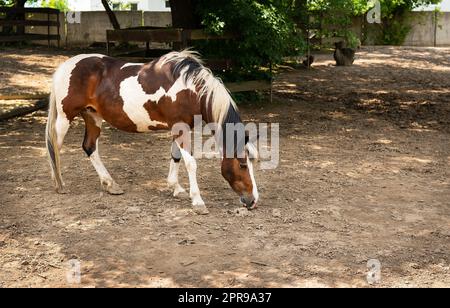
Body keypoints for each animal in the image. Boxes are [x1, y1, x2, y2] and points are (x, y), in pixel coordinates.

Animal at [46, 50, 258, 214]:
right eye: (242, 164)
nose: (253, 200)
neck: (190, 89)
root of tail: (65, 66)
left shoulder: (180, 127)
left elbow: (176, 157)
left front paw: (176, 187)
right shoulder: (180, 127)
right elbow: (191, 163)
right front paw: (197, 201)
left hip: (93, 116)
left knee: (89, 147)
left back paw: (110, 184)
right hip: (65, 117)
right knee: (54, 146)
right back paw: (58, 183)